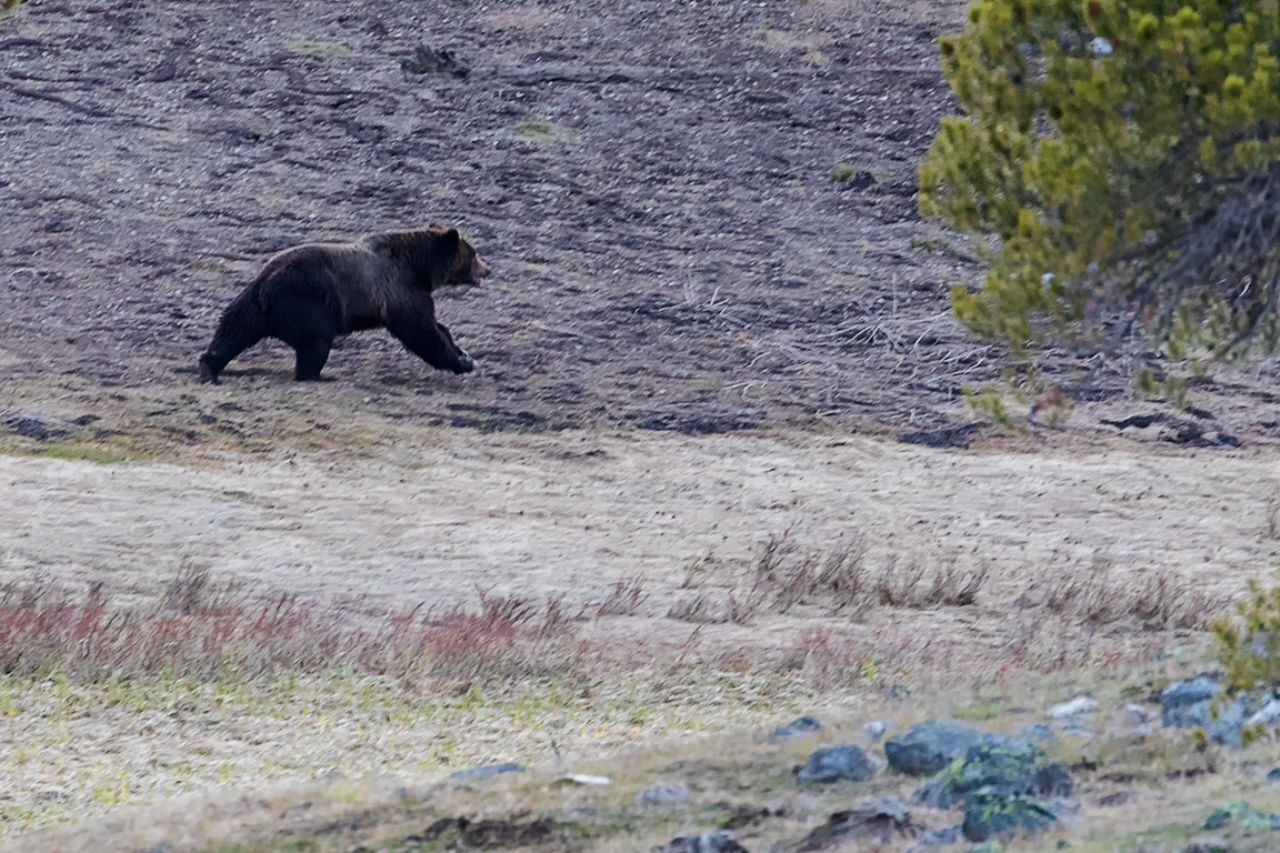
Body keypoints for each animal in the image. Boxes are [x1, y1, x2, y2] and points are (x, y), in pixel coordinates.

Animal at [198, 224, 489, 384]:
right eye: (473, 253)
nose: (487, 269)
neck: (420, 268)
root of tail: (270, 282)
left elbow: (435, 326)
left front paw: (463, 352)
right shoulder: (401, 289)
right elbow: (421, 331)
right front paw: (461, 362)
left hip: (256, 300)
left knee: (235, 326)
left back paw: (209, 365)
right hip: (310, 301)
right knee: (315, 344)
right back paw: (317, 375)